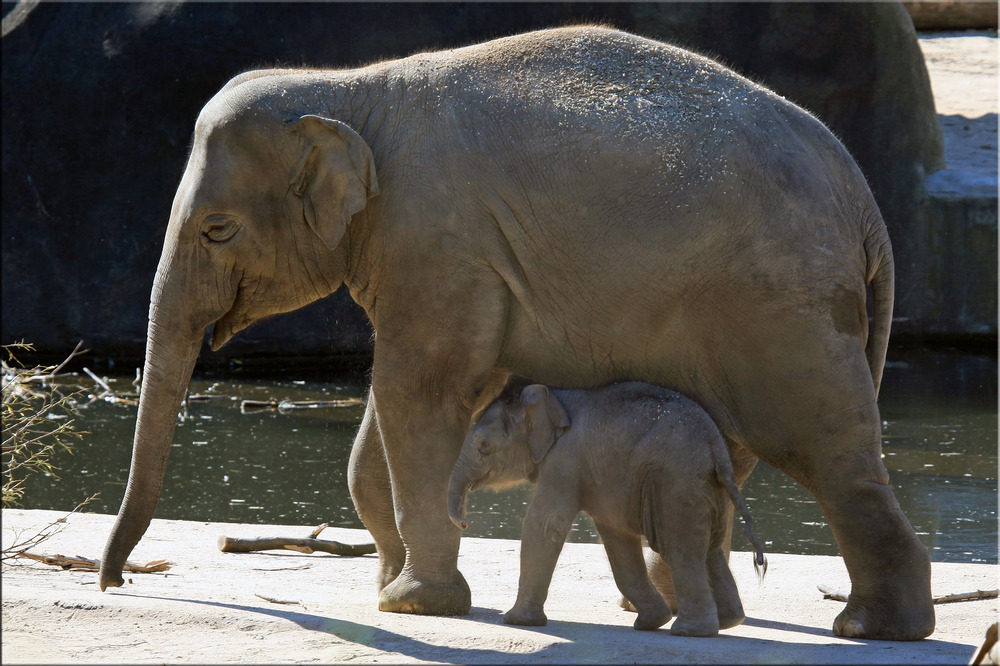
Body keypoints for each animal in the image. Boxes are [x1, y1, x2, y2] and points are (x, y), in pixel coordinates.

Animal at [446, 378, 764, 632]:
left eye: (484, 447)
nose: (465, 522)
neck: (554, 397)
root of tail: (717, 449)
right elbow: (616, 536)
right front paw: (651, 622)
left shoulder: (565, 460)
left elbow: (545, 523)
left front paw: (517, 621)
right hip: (708, 488)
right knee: (710, 549)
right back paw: (728, 622)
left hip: (678, 485)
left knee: (681, 548)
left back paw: (690, 631)